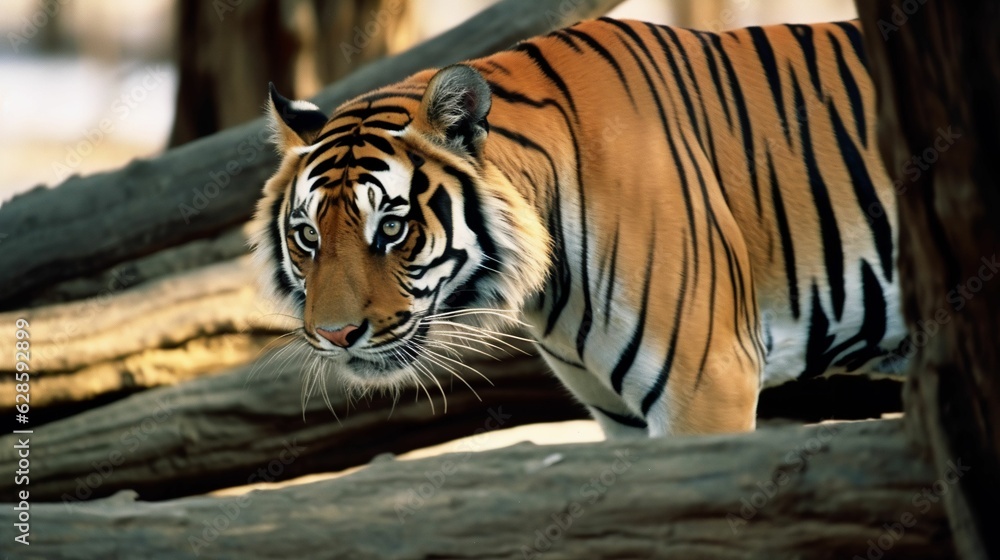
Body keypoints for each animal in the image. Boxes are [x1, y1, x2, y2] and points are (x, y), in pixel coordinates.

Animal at [250, 17, 908, 438]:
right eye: (308, 237)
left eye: (390, 227)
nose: (335, 336)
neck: (550, 286)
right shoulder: (622, 416)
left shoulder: (709, 383)